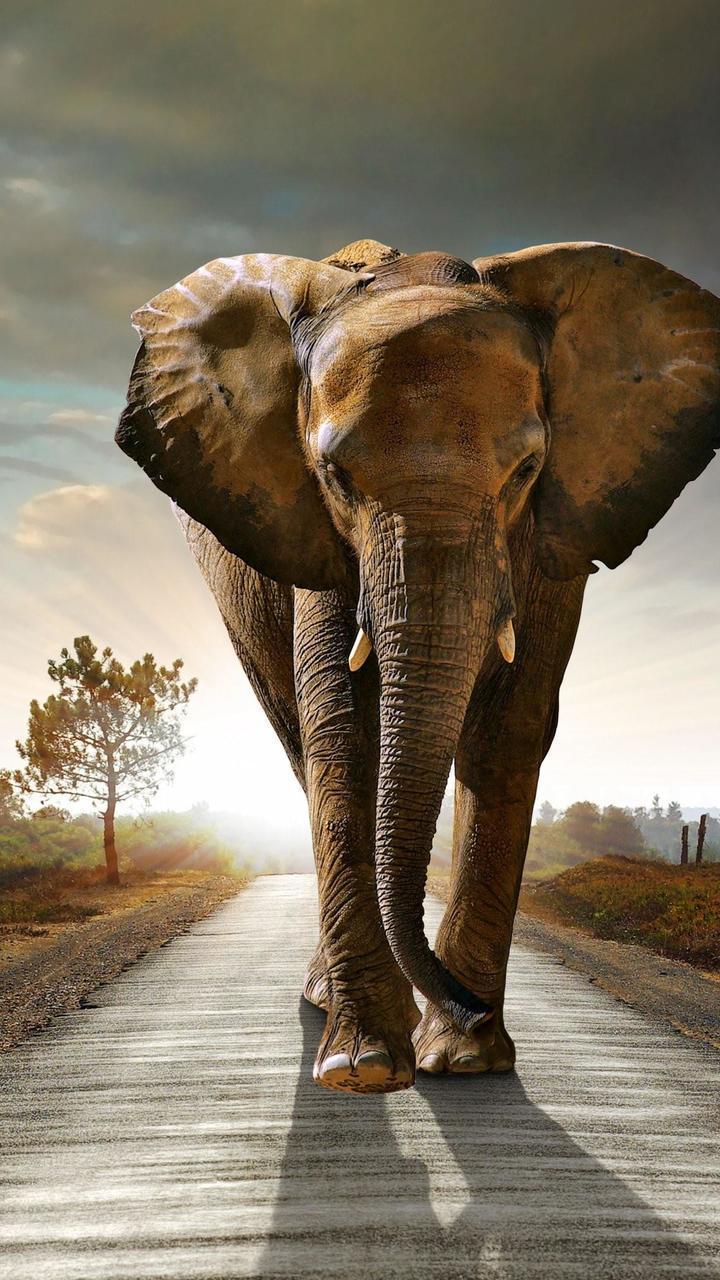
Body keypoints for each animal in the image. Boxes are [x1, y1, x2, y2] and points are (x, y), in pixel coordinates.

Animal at [117, 237, 720, 1095]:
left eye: (526, 471)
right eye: (334, 476)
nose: (468, 1001)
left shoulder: (557, 531)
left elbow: (509, 730)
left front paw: (465, 1060)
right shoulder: (312, 531)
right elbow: (342, 728)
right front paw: (367, 1067)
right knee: (299, 739)